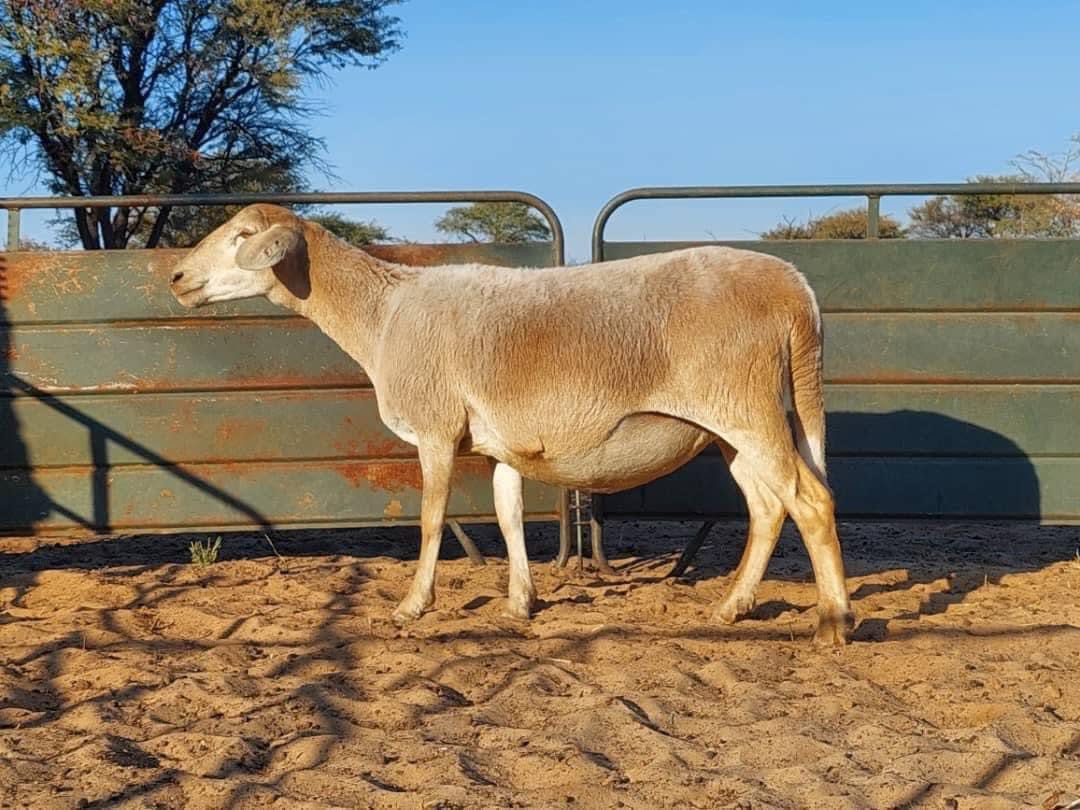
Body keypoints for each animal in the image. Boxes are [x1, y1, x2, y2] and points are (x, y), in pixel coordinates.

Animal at [169, 203, 854, 646]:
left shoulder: (436, 429)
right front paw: (520, 604)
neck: (381, 313)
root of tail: (798, 294)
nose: (174, 276)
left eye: (243, 234)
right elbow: (507, 514)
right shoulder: (499, 442)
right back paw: (731, 608)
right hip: (739, 423)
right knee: (770, 506)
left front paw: (413, 606)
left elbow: (432, 520)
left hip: (747, 409)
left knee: (811, 501)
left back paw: (833, 624)